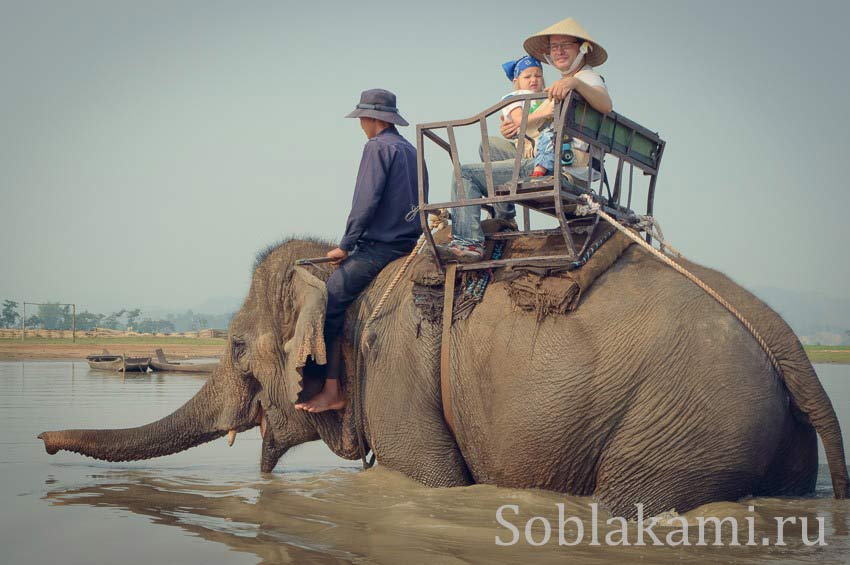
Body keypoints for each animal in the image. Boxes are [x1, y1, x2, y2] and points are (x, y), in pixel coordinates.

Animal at [38, 236, 848, 516]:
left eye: (237, 346)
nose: (42, 445)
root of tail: (786, 339)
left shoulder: (396, 374)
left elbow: (432, 481)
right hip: (767, 434)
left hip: (689, 423)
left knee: (631, 501)